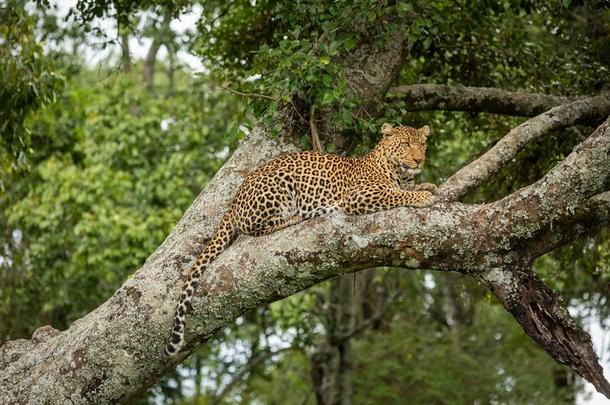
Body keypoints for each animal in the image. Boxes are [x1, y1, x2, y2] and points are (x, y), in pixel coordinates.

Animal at [164, 121, 434, 356]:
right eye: (406, 144)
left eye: (422, 144)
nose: (419, 159)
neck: (398, 172)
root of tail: (233, 202)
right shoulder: (358, 196)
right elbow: (395, 194)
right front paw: (422, 197)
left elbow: (406, 189)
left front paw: (427, 186)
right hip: (277, 186)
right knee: (255, 227)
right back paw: (297, 217)